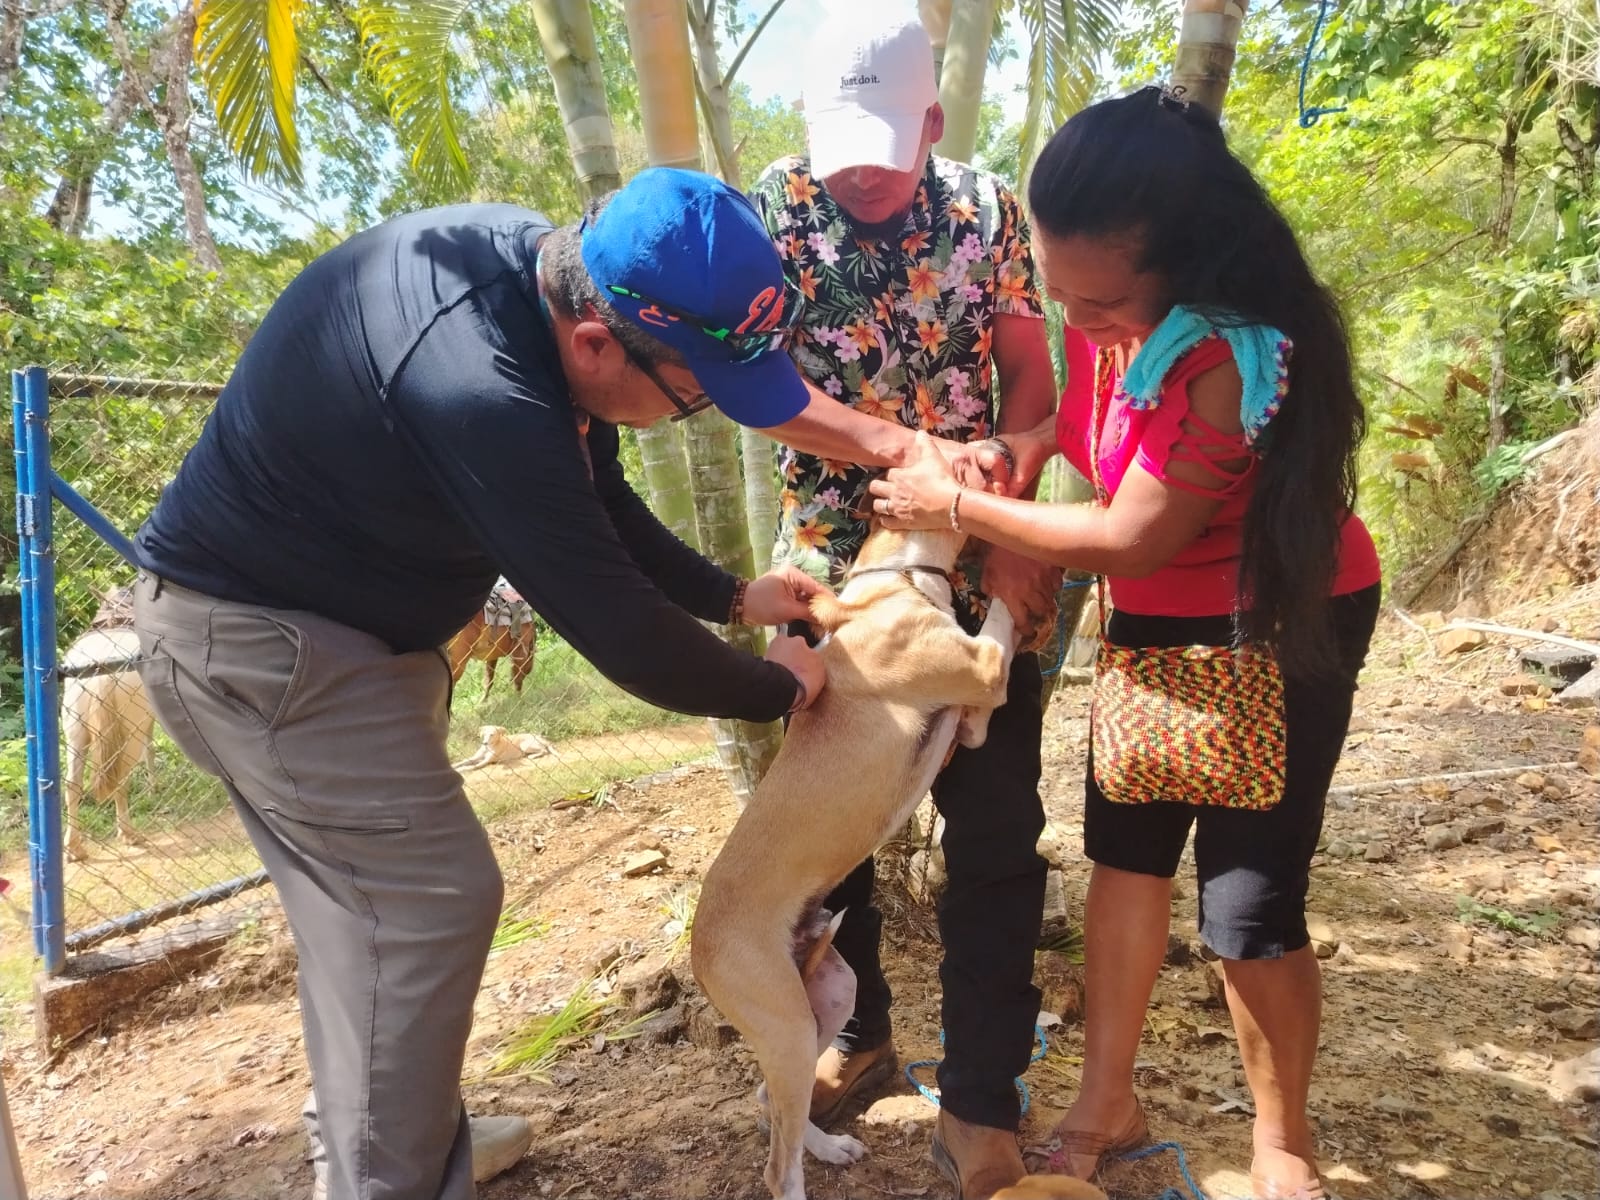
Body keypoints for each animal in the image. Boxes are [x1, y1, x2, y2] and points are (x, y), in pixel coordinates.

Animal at [61, 587, 155, 861]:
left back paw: (74, 848)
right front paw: (154, 788)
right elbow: (151, 747)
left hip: (75, 731)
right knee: (120, 776)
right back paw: (127, 833)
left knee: (72, 784)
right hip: (129, 731)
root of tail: (101, 672)